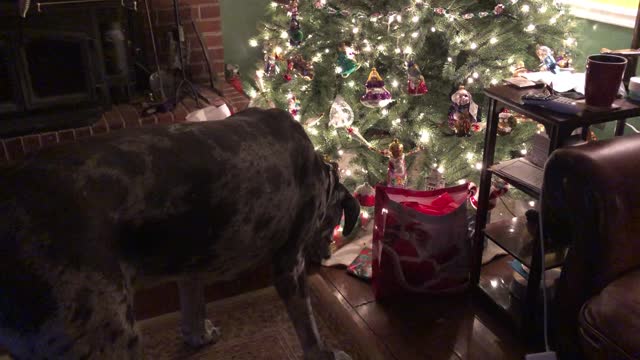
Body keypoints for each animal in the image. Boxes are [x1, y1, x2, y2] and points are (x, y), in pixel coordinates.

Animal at [0, 109, 360, 360]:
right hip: (106, 335)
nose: (327, 255)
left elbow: (192, 304)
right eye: (332, 222)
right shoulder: (289, 264)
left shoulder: (195, 256)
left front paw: (197, 336)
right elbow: (307, 324)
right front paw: (324, 353)